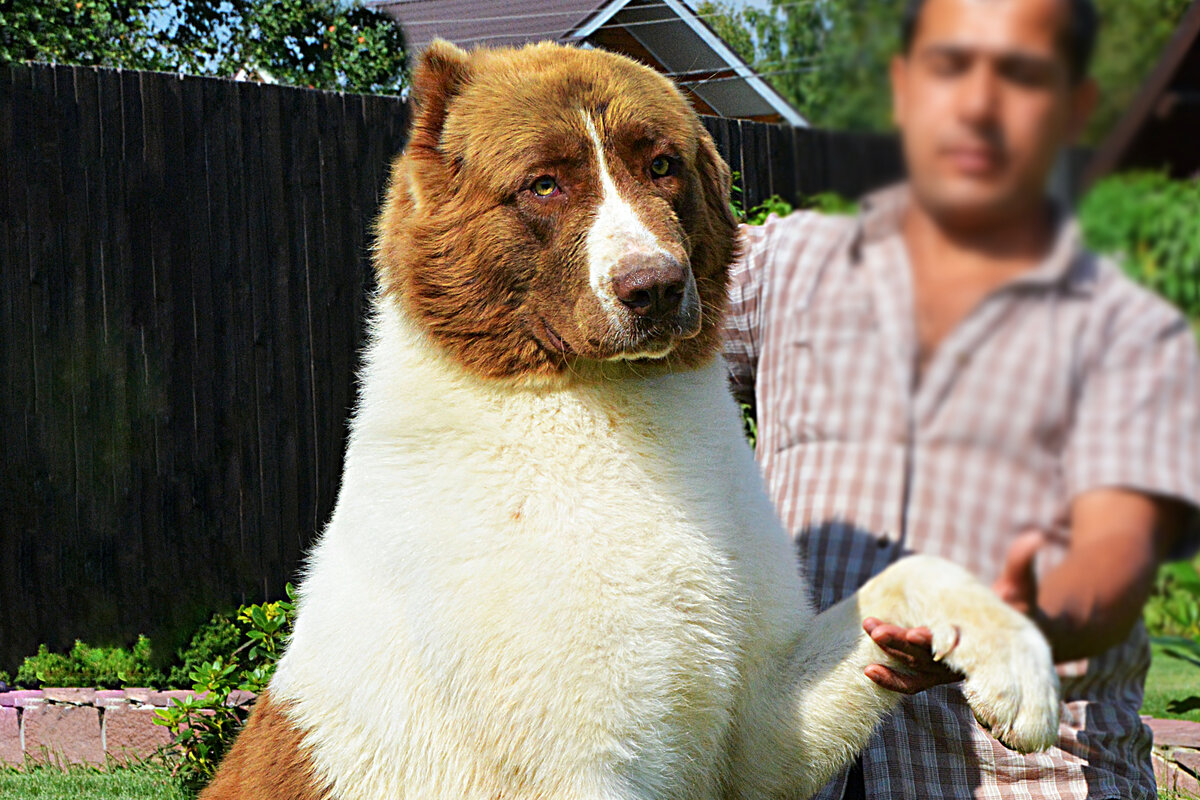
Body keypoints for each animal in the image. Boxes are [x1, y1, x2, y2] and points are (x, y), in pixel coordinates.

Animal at [204, 42, 1060, 800]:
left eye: (662, 165)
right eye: (543, 185)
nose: (654, 287)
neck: (606, 417)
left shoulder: (758, 728)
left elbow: (909, 574)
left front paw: (1018, 666)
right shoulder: (575, 764)